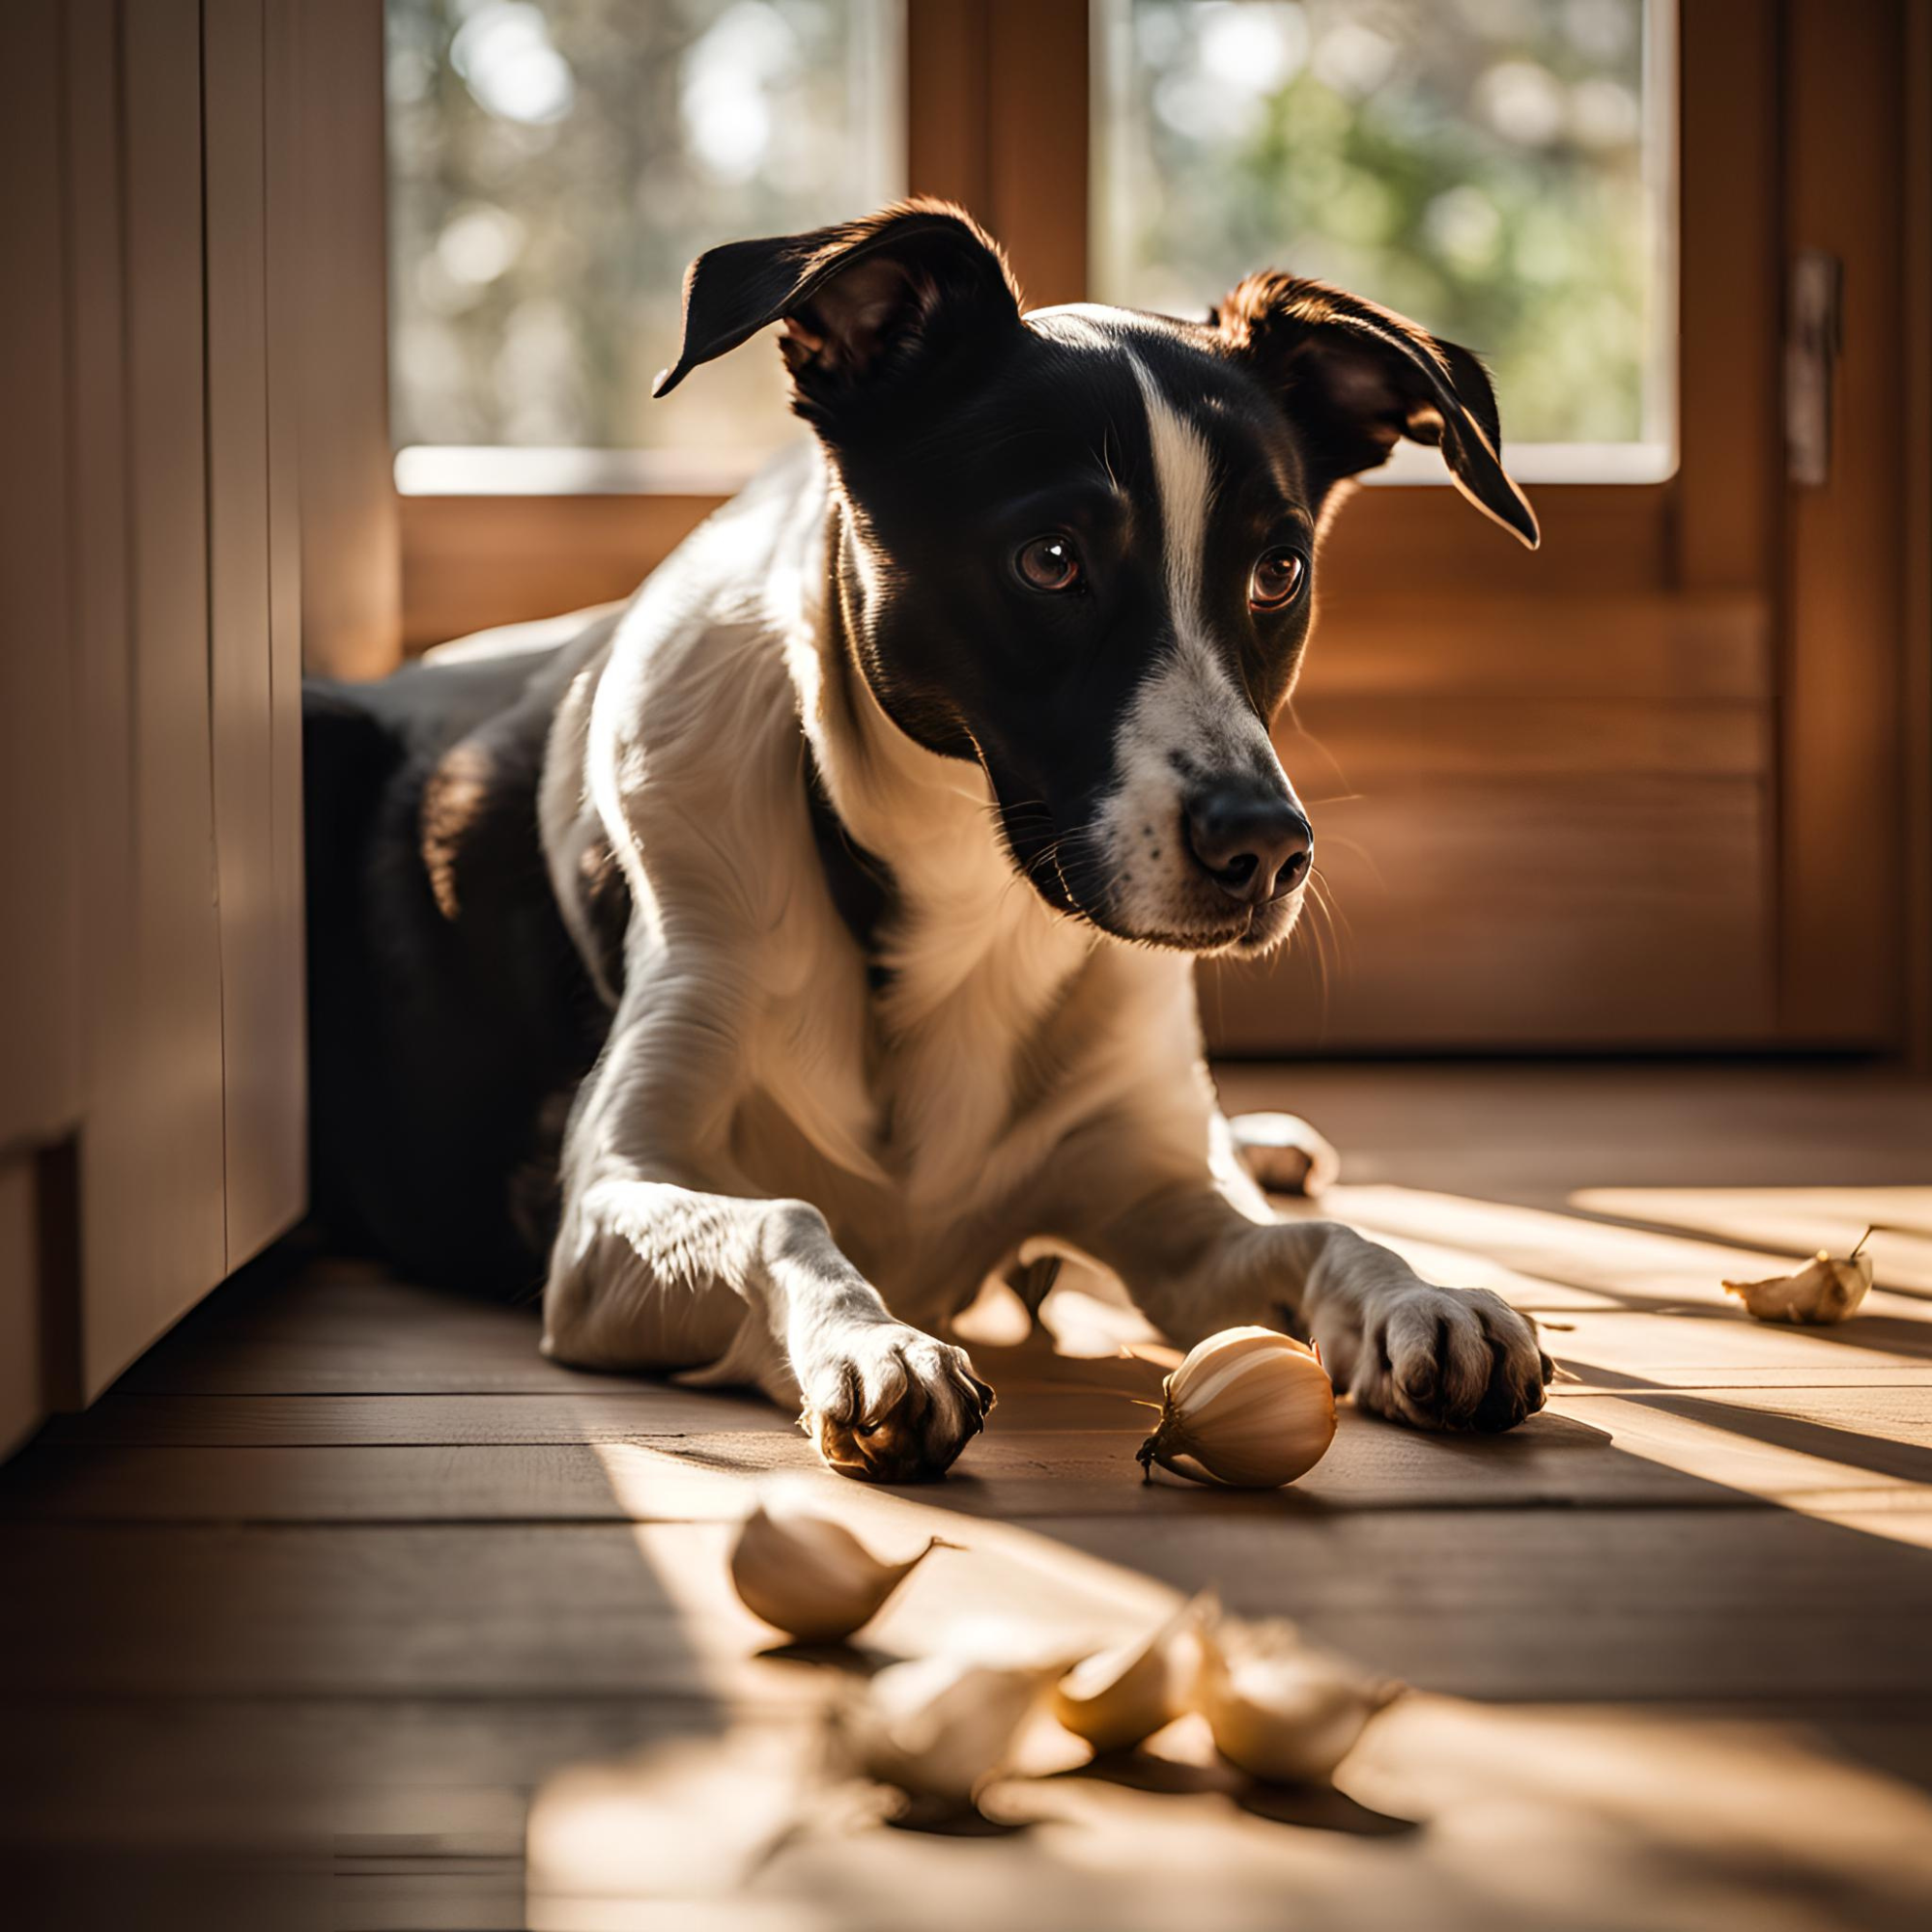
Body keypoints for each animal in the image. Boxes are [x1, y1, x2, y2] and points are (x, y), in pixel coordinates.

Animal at [313, 200, 1553, 1476]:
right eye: (1049, 559)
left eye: (1277, 570)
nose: (1263, 850)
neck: (958, 900)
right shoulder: (606, 1217)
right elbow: (781, 1216)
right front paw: (872, 1340)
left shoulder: (1167, 1216)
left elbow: (1318, 1239)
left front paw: (1421, 1295)